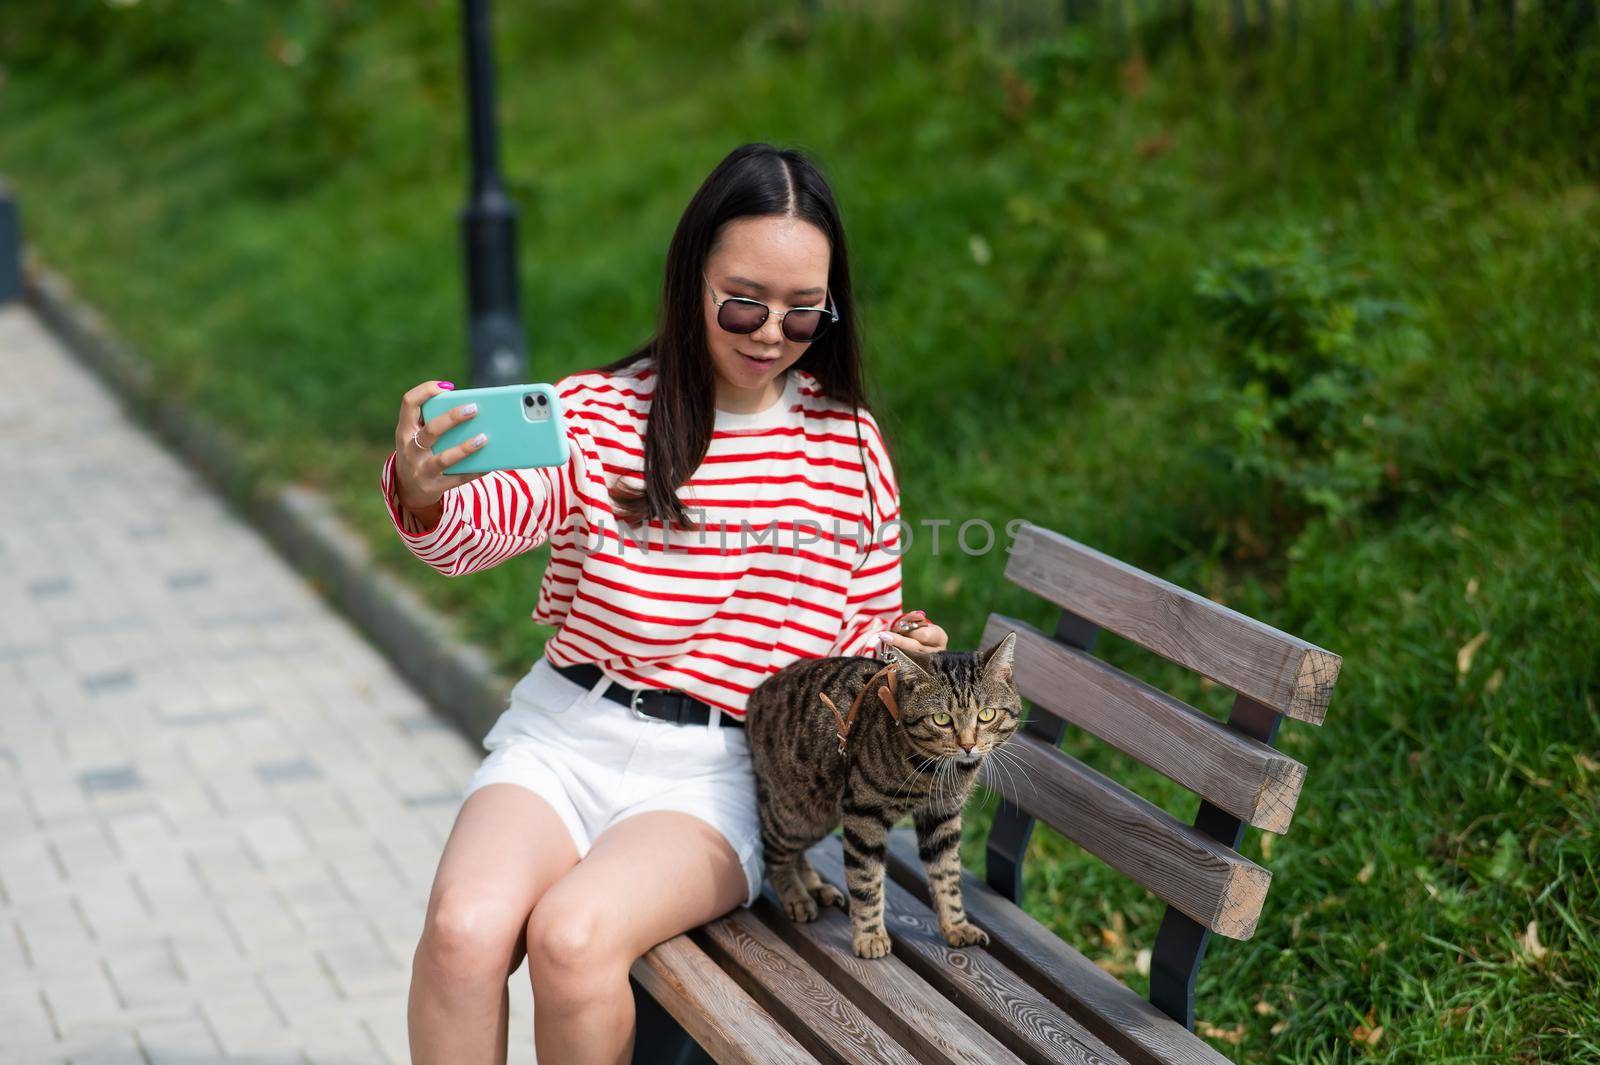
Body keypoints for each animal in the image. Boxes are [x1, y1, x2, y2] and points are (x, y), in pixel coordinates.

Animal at [742, 633, 1017, 959]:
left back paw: (813, 886)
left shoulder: (942, 816)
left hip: (820, 815)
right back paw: (796, 896)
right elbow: (866, 880)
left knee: (795, 853)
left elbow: (947, 876)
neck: (933, 772)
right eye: (941, 719)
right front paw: (870, 936)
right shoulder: (864, 815)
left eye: (986, 714)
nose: (967, 745)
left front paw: (956, 925)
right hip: (794, 814)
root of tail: (755, 696)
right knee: (774, 854)